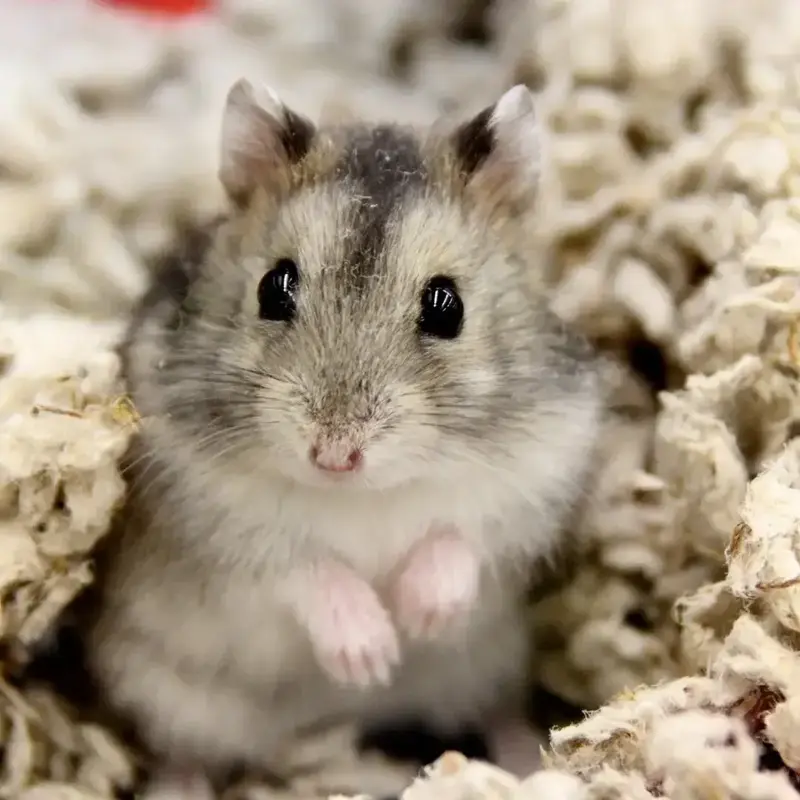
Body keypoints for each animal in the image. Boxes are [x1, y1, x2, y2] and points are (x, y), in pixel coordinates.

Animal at [82, 79, 604, 797]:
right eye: (274, 287)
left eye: (447, 306)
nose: (333, 455)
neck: (364, 495)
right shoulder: (212, 521)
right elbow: (305, 567)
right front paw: (371, 654)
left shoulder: (539, 472)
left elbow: (461, 537)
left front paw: (419, 617)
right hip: (165, 689)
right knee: (181, 753)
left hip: (487, 668)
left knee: (496, 713)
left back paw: (528, 761)